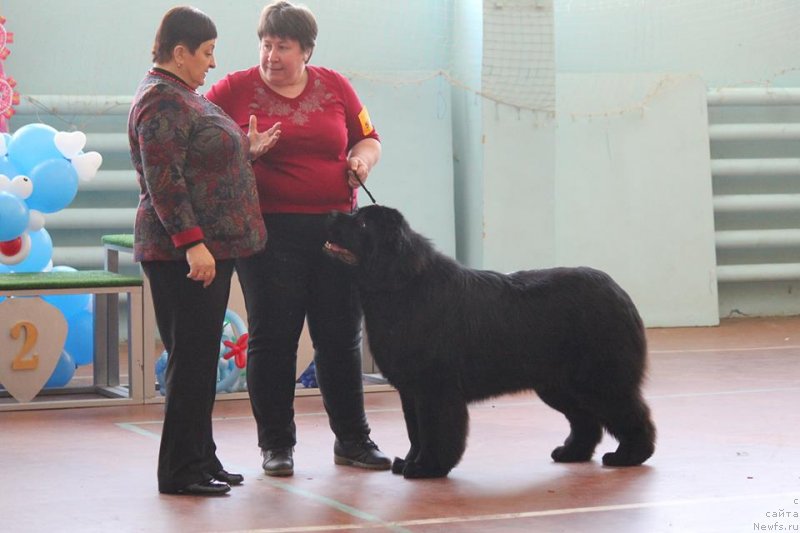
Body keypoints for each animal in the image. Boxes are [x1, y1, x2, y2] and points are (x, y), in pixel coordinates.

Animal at [324, 205, 656, 478]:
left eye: (362, 223)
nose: (330, 215)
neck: (401, 285)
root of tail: (619, 292)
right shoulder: (411, 390)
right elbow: (415, 431)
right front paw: (409, 461)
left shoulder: (434, 388)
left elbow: (434, 430)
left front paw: (427, 468)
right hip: (559, 385)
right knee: (586, 421)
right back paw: (571, 453)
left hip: (600, 380)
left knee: (632, 414)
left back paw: (629, 456)